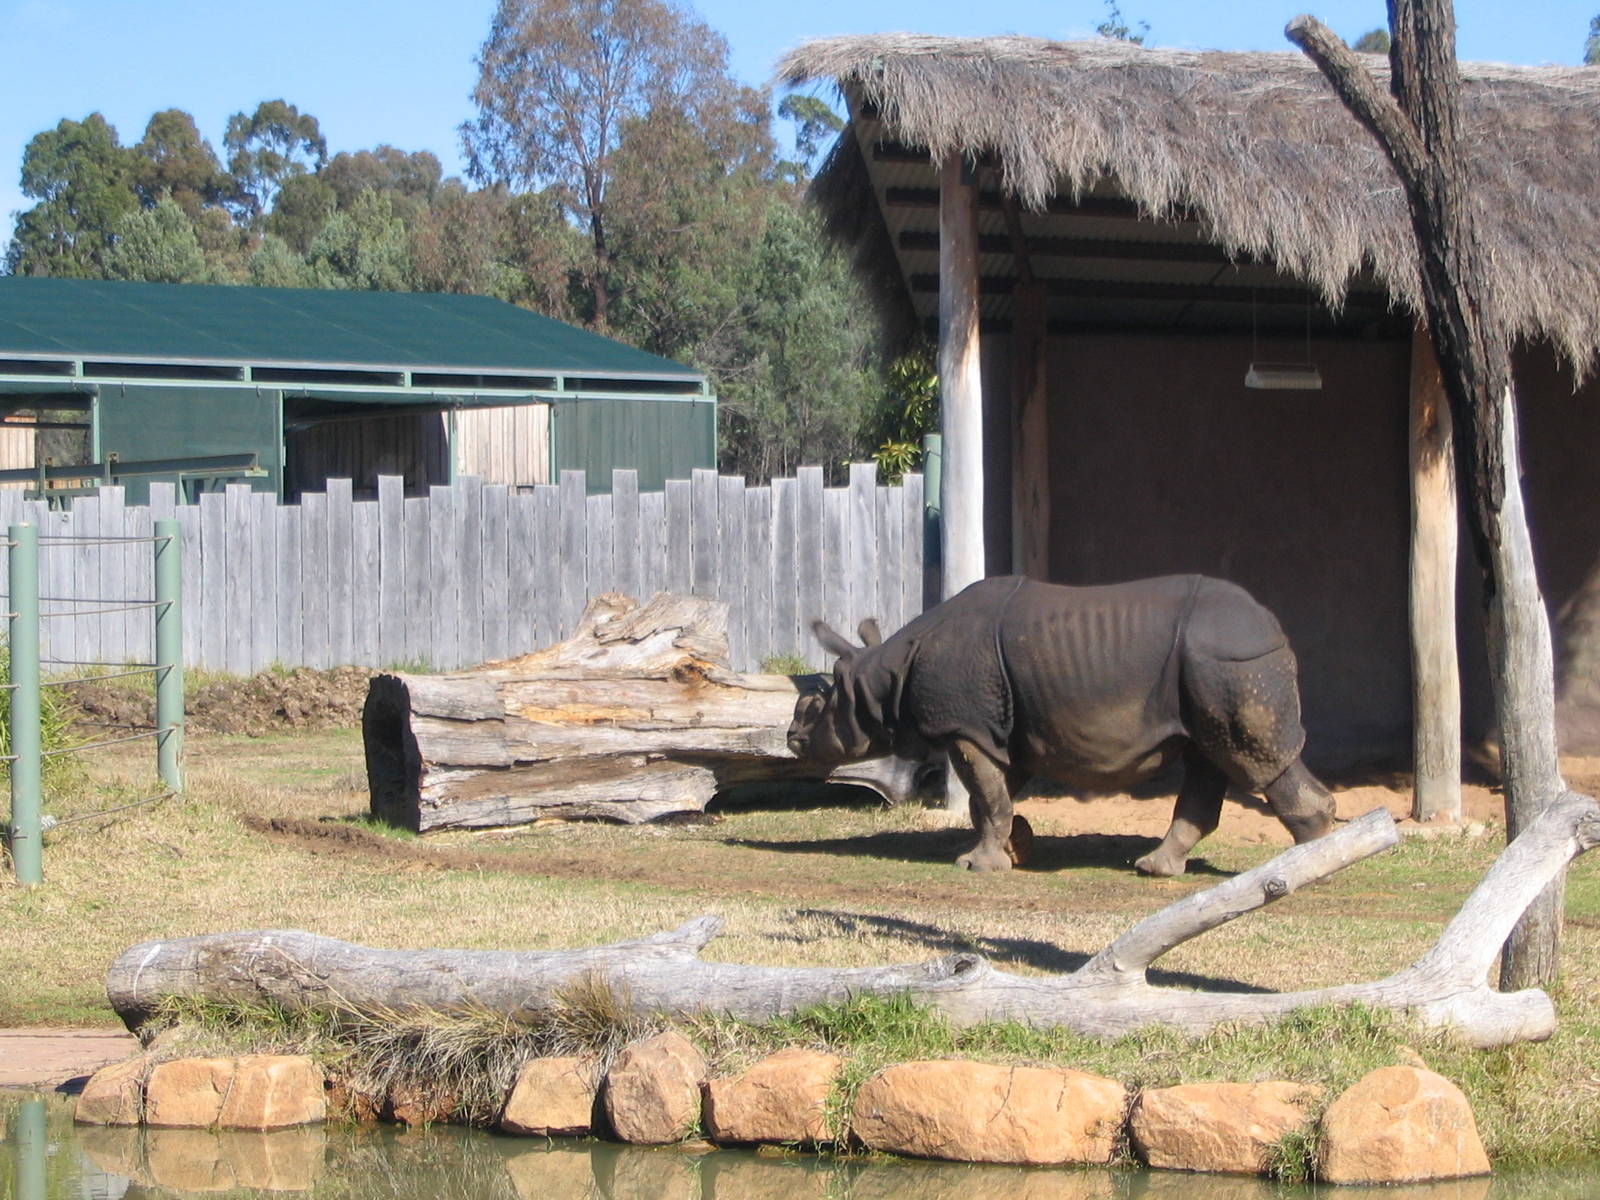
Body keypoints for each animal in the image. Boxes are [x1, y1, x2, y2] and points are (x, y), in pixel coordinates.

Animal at [787, 574, 1336, 876]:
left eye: (816, 709)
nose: (791, 739)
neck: (883, 675)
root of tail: (1272, 627)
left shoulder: (967, 727)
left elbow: (987, 798)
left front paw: (976, 865)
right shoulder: (1002, 731)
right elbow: (994, 798)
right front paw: (1015, 848)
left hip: (1228, 661)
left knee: (1251, 761)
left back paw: (1307, 868)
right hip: (1214, 667)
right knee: (1212, 758)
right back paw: (1156, 870)